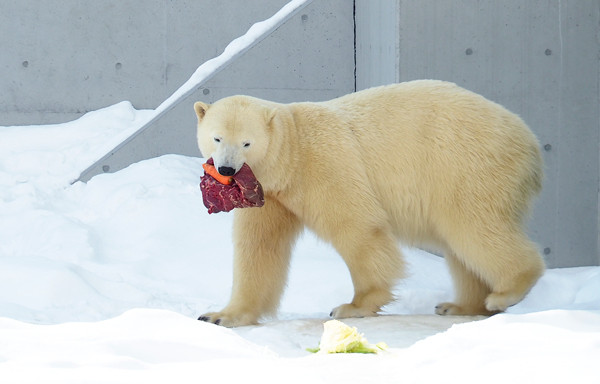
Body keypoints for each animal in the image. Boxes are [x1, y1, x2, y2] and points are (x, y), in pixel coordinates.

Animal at [195, 81, 548, 328]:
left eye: (246, 142)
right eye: (217, 138)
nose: (226, 169)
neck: (292, 151)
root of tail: (531, 143)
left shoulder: (322, 164)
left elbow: (358, 226)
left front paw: (354, 305)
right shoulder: (272, 195)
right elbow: (259, 248)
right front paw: (220, 315)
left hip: (466, 166)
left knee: (474, 226)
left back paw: (504, 292)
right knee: (462, 247)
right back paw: (460, 305)